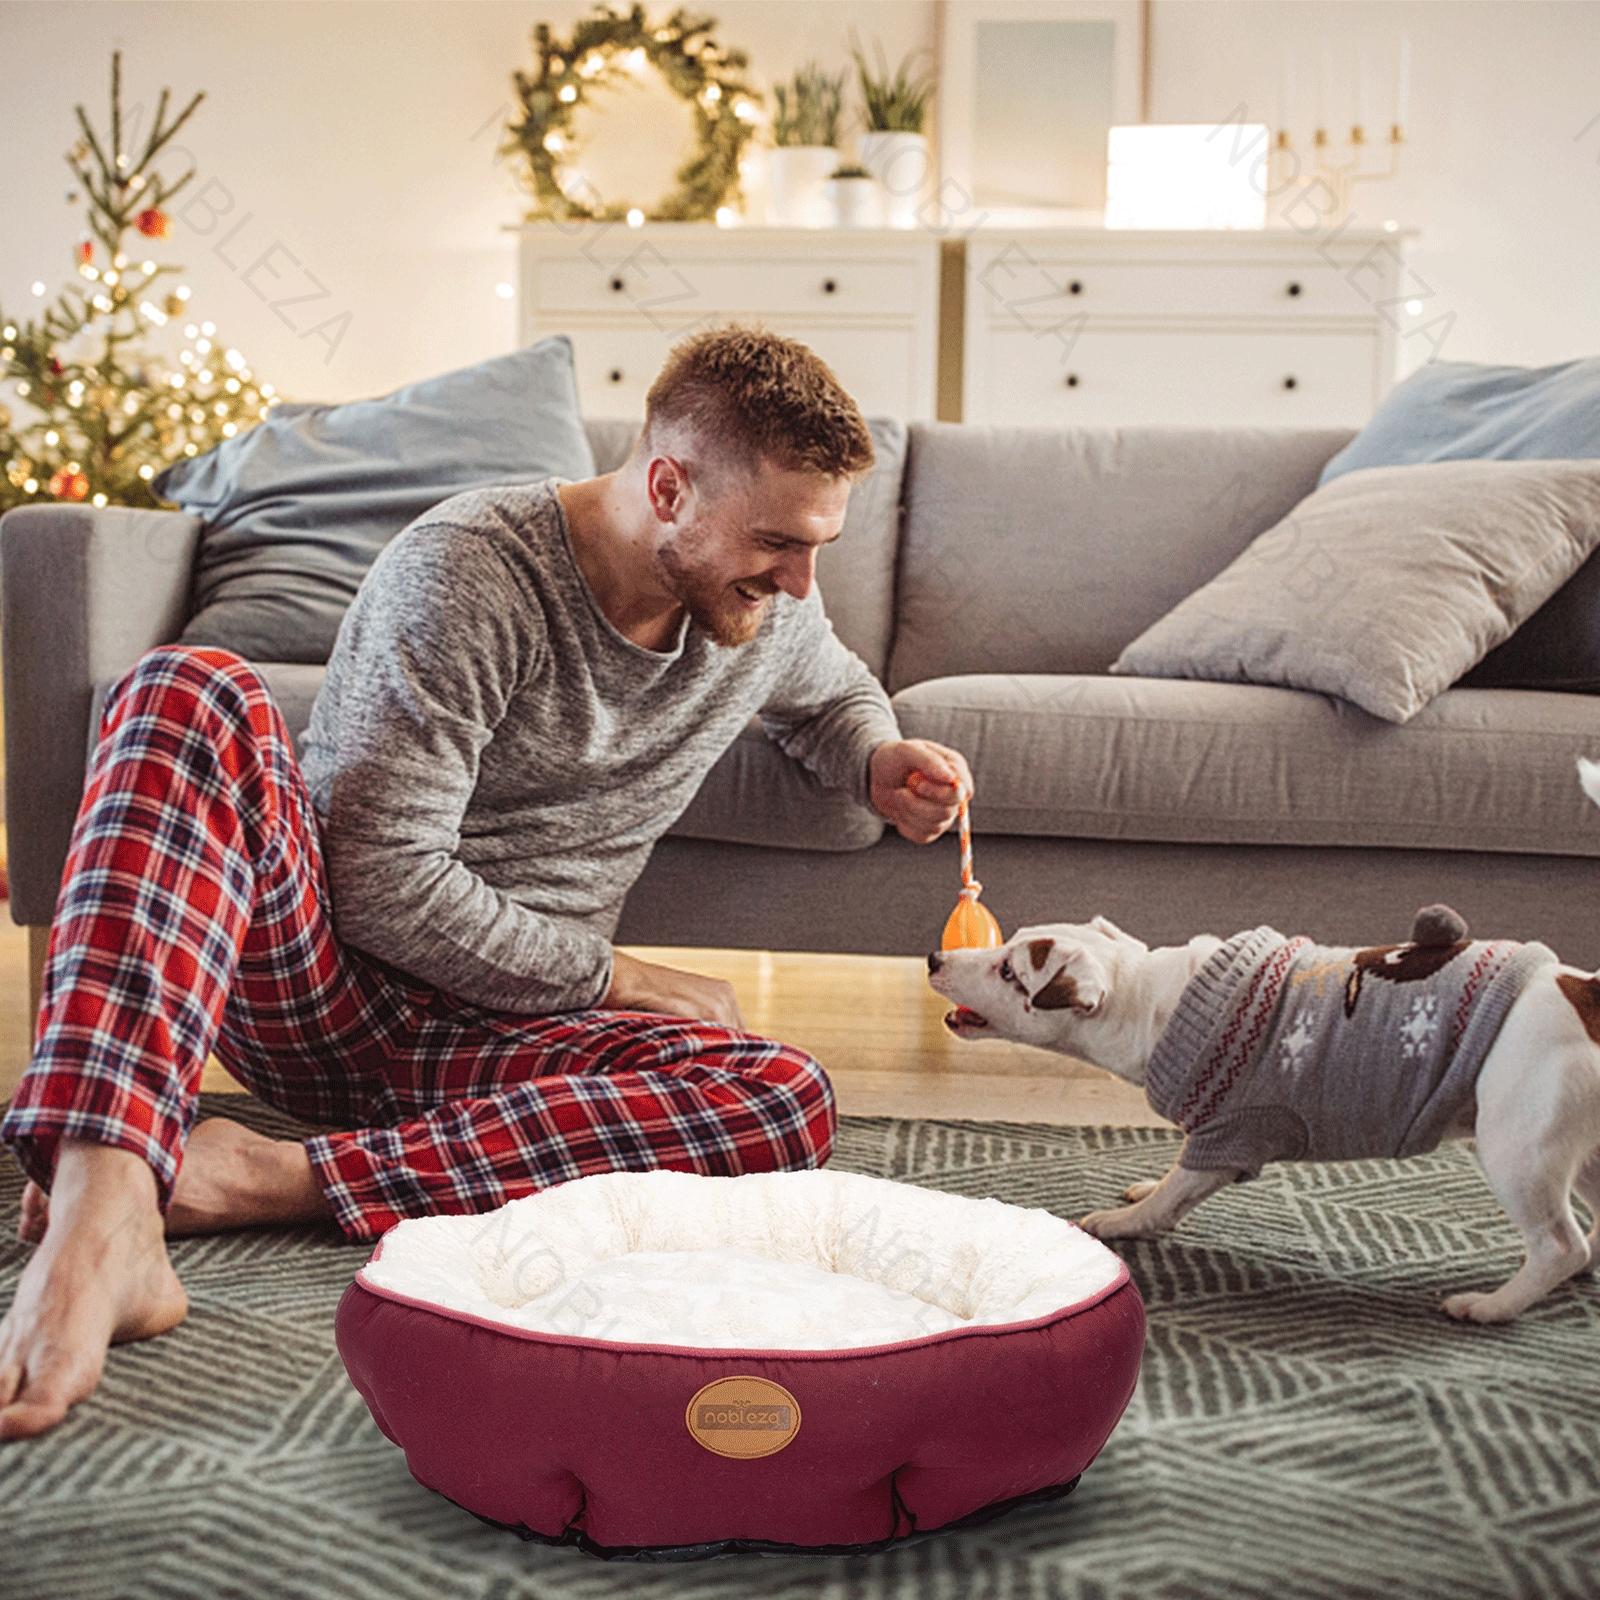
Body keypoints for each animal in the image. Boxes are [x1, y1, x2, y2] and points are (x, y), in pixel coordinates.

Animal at [928, 755, 1600, 1318]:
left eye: (1009, 971)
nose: (935, 958)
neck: (1153, 1001)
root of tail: (1584, 992)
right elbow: (1174, 1182)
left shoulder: (1232, 1131)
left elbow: (1174, 1192)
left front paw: (1127, 1221)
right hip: (1581, 1152)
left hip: (1519, 1146)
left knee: (1559, 1246)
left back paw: (1494, 1305)